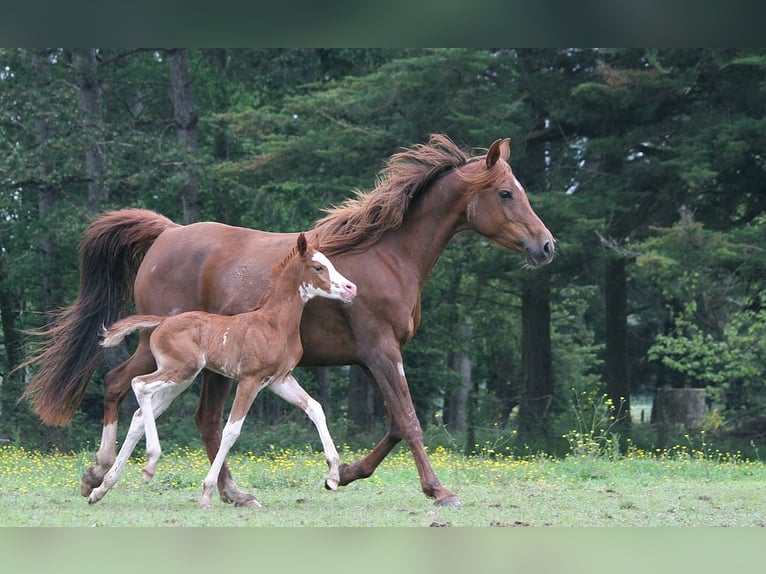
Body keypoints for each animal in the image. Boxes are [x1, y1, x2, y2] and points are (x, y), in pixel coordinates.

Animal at [88, 234, 358, 508]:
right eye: (318, 267)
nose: (351, 288)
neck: (274, 323)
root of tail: (163, 321)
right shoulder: (250, 379)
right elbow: (231, 430)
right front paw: (207, 493)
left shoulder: (280, 380)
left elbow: (315, 408)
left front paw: (333, 475)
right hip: (182, 370)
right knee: (139, 384)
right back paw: (150, 462)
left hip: (179, 379)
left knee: (139, 415)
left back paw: (101, 487)